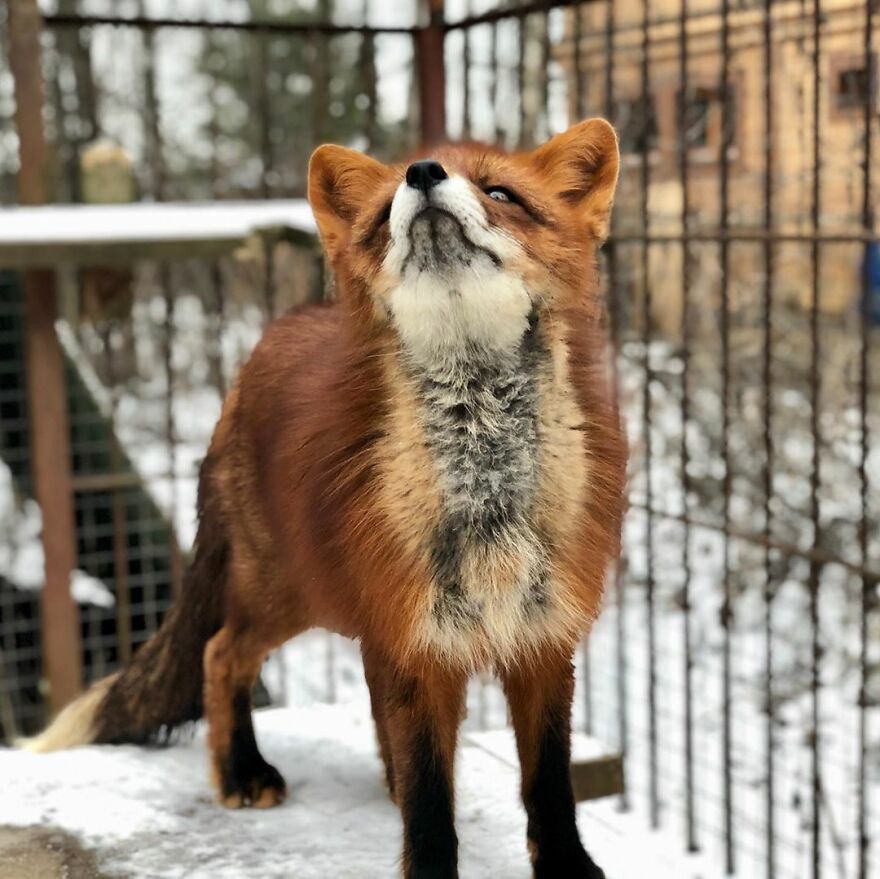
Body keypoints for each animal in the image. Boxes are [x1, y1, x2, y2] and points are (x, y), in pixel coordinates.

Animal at [22, 118, 627, 879]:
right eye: (383, 210)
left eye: (500, 192)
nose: (423, 173)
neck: (486, 492)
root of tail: (266, 342)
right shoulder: (416, 640)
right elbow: (431, 800)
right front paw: (428, 862)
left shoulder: (541, 637)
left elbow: (549, 784)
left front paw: (569, 867)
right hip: (285, 590)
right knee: (220, 654)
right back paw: (241, 770)